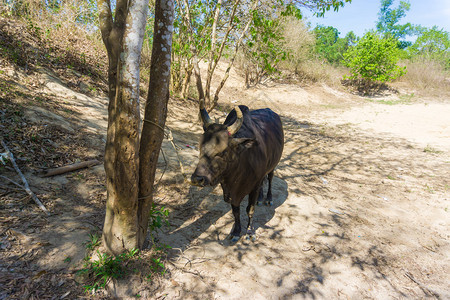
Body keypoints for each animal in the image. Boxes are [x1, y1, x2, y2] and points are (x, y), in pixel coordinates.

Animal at [191, 104, 284, 243]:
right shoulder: (231, 193)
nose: (197, 179)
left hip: (273, 165)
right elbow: (236, 211)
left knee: (270, 178)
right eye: (201, 147)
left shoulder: (253, 187)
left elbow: (250, 210)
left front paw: (250, 232)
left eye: (223, 151)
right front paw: (235, 231)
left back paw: (268, 198)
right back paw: (260, 198)